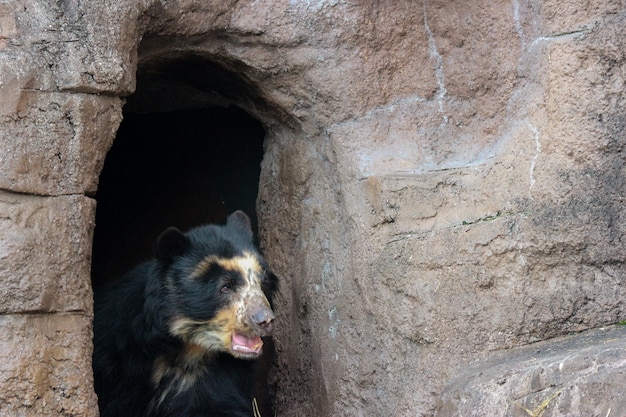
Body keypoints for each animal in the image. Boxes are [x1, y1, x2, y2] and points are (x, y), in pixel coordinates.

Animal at [91, 211, 276, 416]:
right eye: (225, 287)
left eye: (262, 282)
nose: (265, 320)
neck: (188, 348)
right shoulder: (118, 360)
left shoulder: (218, 375)